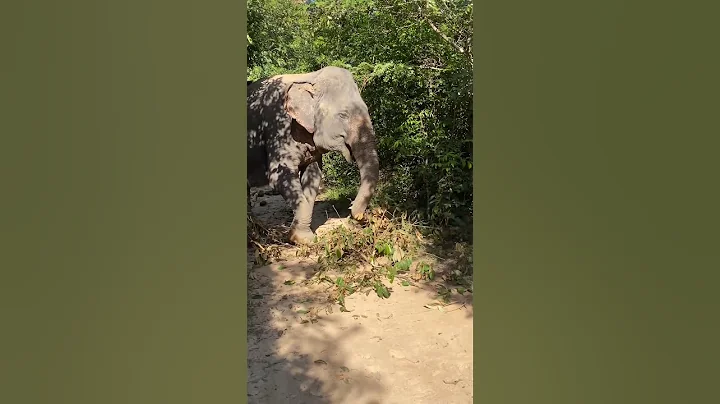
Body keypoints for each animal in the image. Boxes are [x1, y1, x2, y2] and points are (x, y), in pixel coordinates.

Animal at [247, 66, 380, 244]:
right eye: (343, 115)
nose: (357, 215)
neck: (311, 77)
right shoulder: (278, 130)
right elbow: (279, 176)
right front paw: (302, 239)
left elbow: (313, 176)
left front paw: (302, 236)